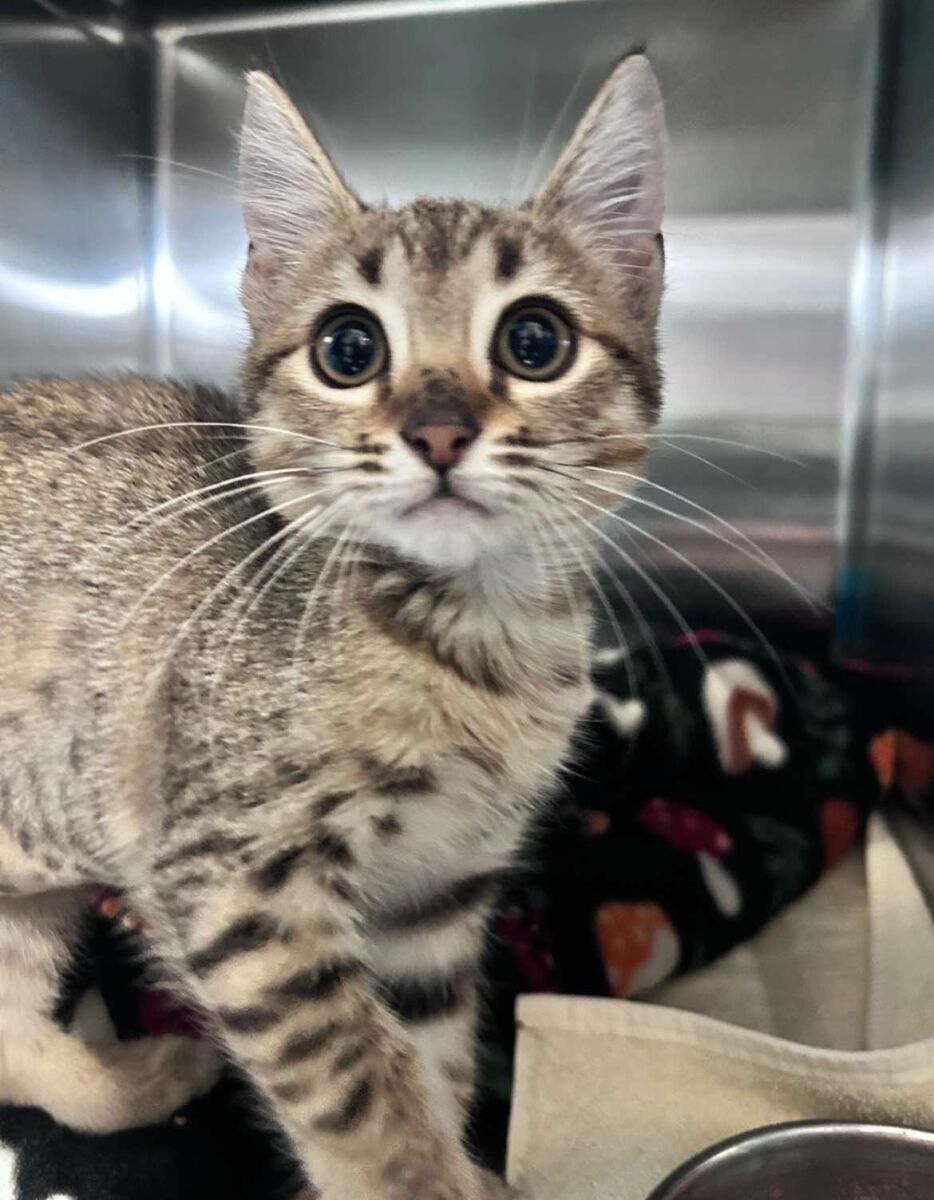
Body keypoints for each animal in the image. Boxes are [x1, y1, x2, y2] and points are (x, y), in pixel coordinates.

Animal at [0, 53, 666, 1200]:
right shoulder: (233, 879)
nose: (437, 430)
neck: (471, 640)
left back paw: (130, 1080)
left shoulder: (434, 900)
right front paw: (423, 1180)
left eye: (535, 340)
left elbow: (431, 1066)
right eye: (347, 347)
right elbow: (364, 1100)